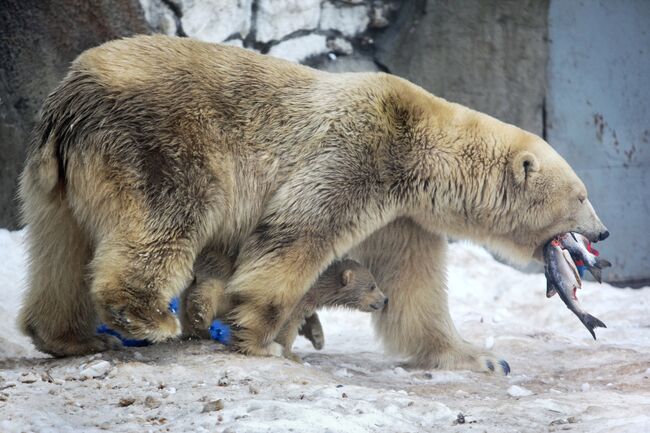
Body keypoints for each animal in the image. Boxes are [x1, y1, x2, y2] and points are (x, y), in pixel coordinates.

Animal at [20, 34, 608, 372]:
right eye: (581, 195)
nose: (601, 234)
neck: (421, 140)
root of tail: (71, 97)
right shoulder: (358, 154)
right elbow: (295, 233)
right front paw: (255, 336)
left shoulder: (402, 216)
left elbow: (412, 286)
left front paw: (481, 358)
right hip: (158, 144)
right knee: (164, 219)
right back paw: (144, 318)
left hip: (57, 177)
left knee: (59, 246)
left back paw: (68, 337)